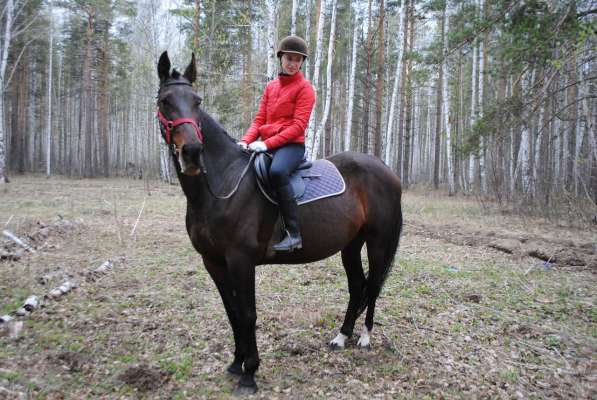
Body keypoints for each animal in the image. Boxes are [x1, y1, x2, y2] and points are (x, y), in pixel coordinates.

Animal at [156, 52, 402, 394]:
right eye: (165, 101)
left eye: (197, 101)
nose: (192, 153)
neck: (221, 185)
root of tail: (384, 168)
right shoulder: (213, 262)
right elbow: (232, 312)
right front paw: (236, 363)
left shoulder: (241, 260)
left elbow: (247, 314)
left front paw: (249, 374)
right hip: (351, 246)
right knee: (357, 286)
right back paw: (341, 337)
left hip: (378, 243)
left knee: (374, 285)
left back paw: (364, 338)